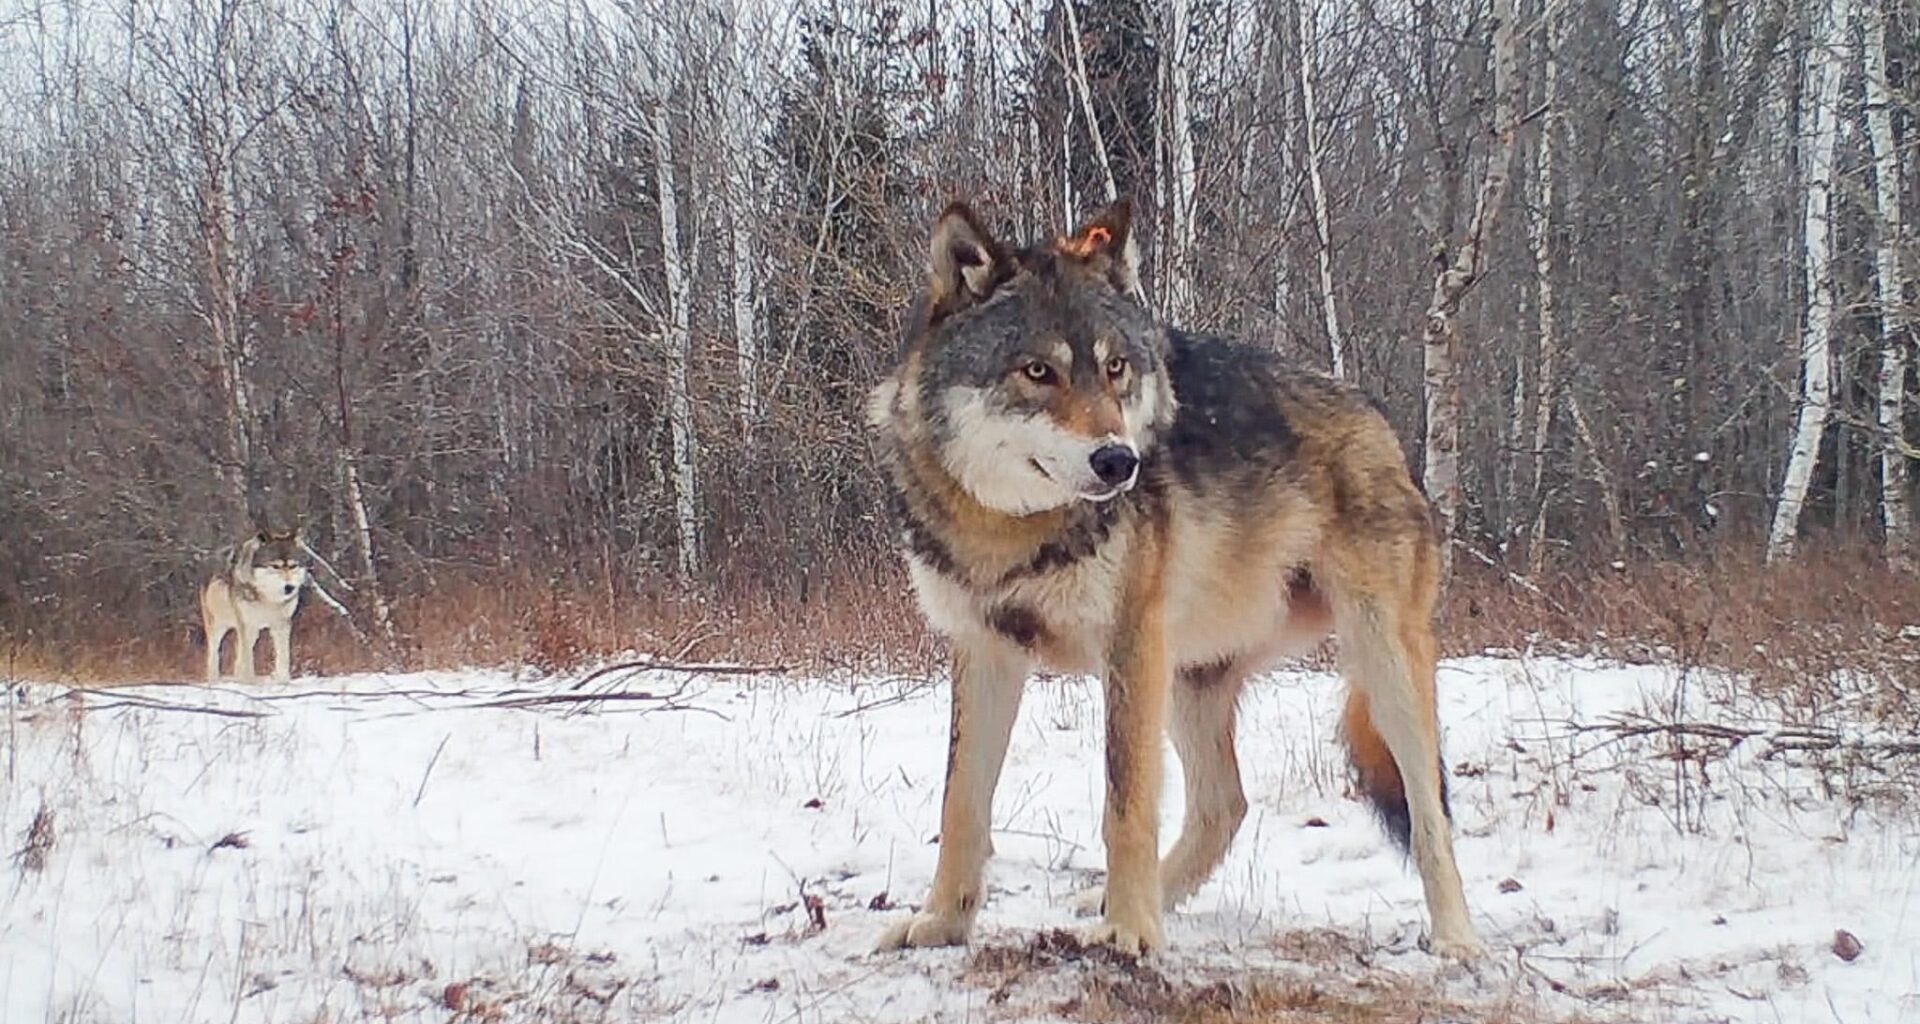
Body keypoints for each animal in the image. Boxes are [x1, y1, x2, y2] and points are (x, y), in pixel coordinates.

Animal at [201, 528, 309, 683]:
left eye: (293, 566)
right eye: (275, 566)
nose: (289, 587)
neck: (268, 599)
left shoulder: (281, 625)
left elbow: (283, 657)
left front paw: (283, 681)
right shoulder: (247, 625)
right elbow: (247, 660)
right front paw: (249, 683)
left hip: (252, 632)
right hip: (219, 627)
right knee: (214, 654)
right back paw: (214, 681)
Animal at [866, 199, 1482, 959]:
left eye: (1116, 368)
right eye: (1037, 371)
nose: (1118, 461)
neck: (1010, 531)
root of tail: (1379, 419)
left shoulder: (1128, 647)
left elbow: (1125, 802)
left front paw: (1130, 933)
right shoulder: (985, 653)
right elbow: (960, 804)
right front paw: (941, 924)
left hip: (1379, 664)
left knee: (1430, 814)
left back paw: (1456, 939)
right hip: (1191, 678)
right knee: (1226, 804)